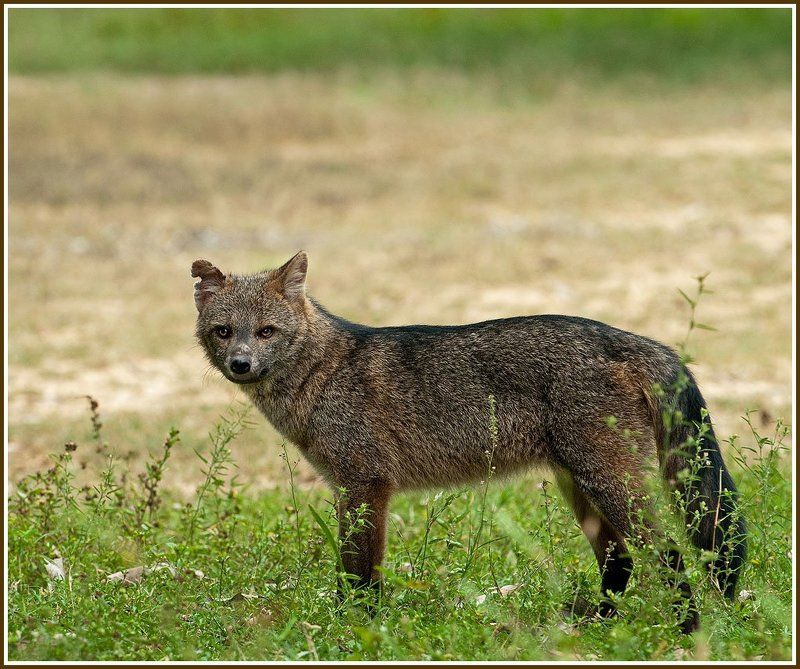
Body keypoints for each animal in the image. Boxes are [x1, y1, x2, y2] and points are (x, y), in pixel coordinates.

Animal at [191, 251, 746, 633]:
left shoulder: (365, 486)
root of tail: (641, 341)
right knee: (621, 560)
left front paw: (357, 628)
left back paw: (686, 630)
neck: (324, 372)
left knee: (668, 551)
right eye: (224, 331)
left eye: (266, 331)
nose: (240, 364)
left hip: (608, 483)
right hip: (581, 488)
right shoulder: (352, 487)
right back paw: (593, 625)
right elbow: (357, 570)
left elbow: (360, 575)